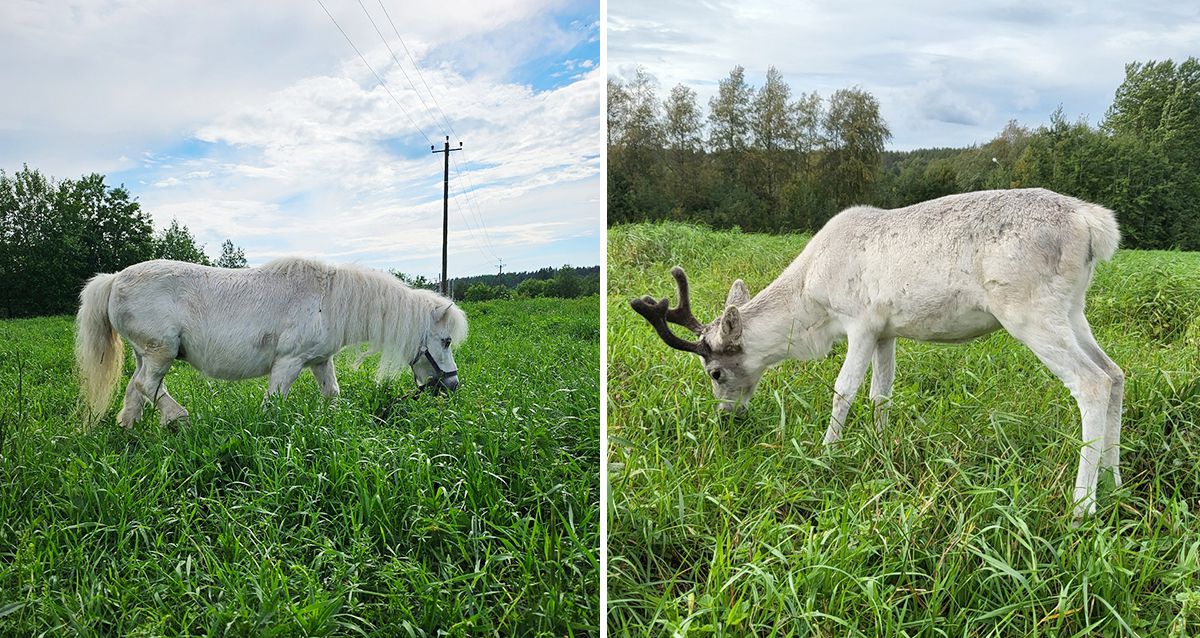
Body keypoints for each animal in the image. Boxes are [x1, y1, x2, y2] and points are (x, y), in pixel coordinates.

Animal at [76, 257, 468, 429]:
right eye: (447, 340)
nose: (452, 385)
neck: (327, 299)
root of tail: (114, 279)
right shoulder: (288, 363)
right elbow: (274, 402)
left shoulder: (319, 361)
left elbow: (332, 393)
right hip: (161, 352)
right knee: (146, 385)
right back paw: (179, 418)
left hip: (147, 353)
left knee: (136, 387)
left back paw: (129, 428)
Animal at [638, 189, 1123, 518]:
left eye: (715, 372)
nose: (727, 417)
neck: (812, 304)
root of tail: (1093, 223)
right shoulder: (887, 331)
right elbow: (881, 394)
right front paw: (883, 449)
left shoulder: (861, 321)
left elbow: (845, 389)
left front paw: (826, 453)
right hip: (1072, 308)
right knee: (1115, 373)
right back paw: (1113, 479)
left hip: (1027, 310)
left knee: (1091, 381)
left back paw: (1082, 505)